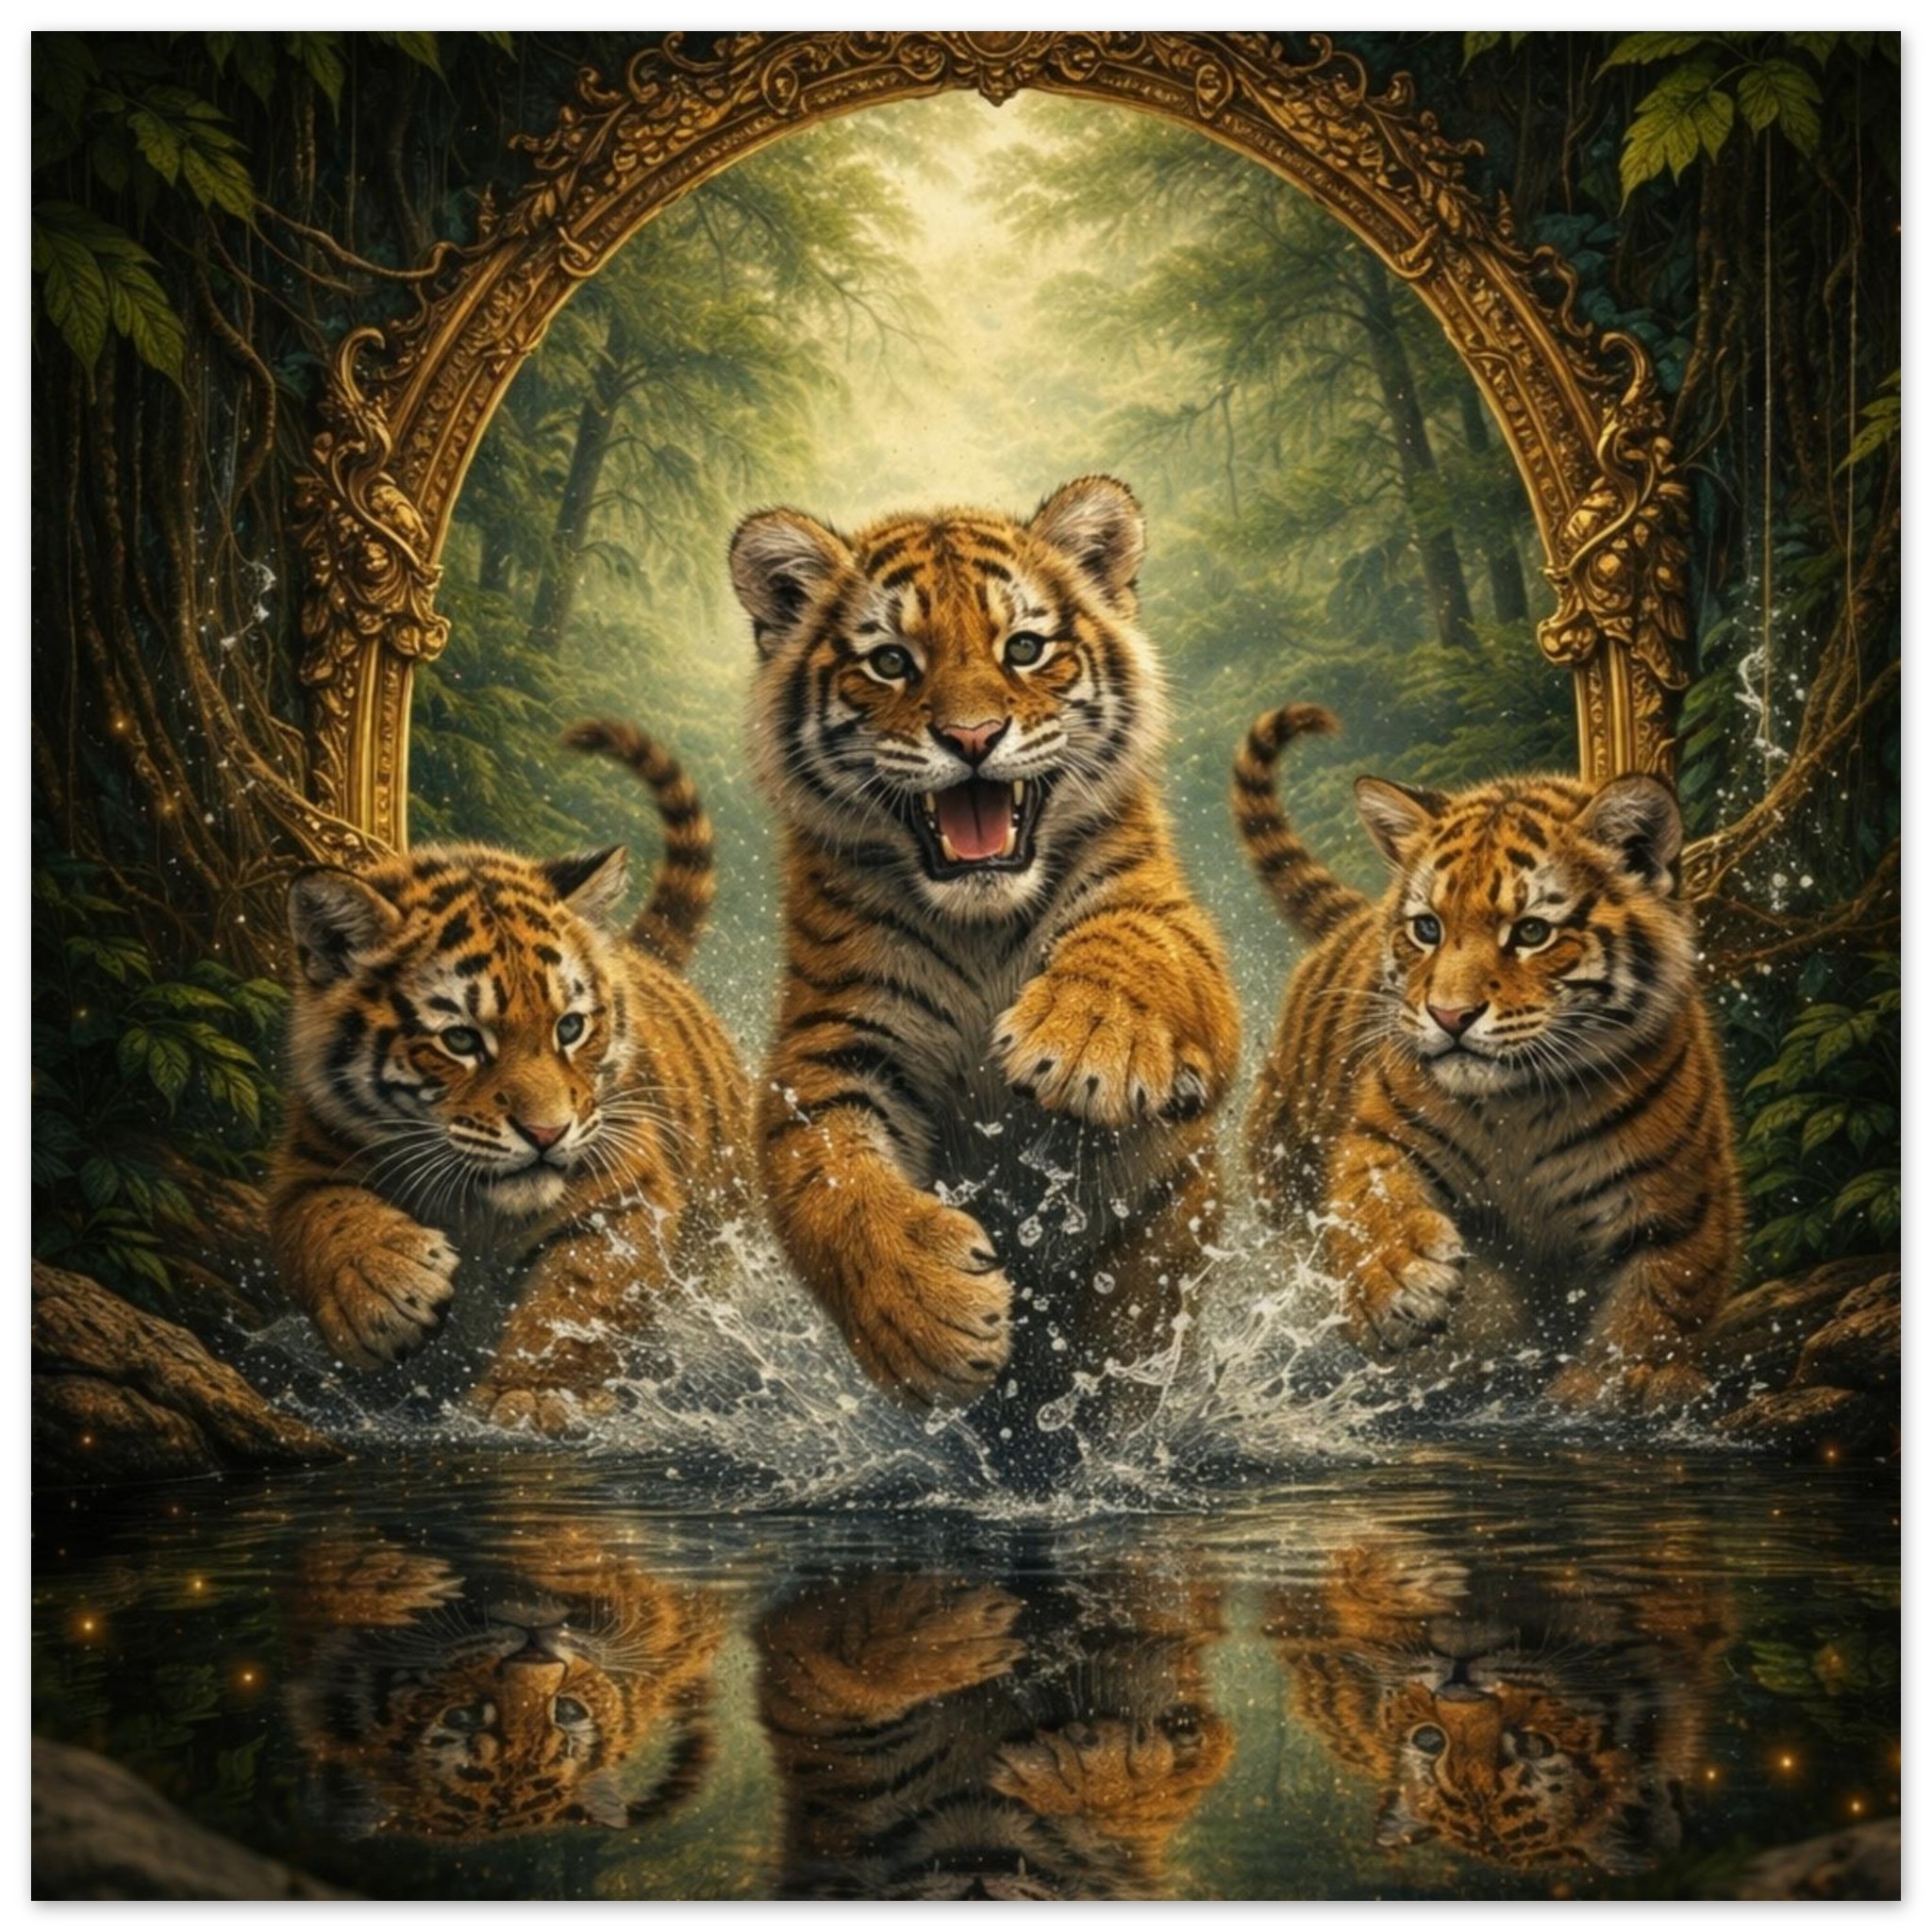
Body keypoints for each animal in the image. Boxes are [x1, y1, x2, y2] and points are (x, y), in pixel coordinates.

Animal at [268, 719, 752, 1432]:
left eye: (570, 1028)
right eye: (461, 1040)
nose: (547, 1134)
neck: (478, 1208)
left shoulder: (627, 1191)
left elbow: (579, 1298)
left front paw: (533, 1394)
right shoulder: (307, 1160)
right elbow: (322, 1219)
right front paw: (384, 1288)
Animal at [730, 476, 1241, 1447]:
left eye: (1025, 649)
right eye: (892, 662)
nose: (972, 738)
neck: (981, 926)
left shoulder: (1176, 932)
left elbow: (1134, 946)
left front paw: (1083, 1042)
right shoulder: (827, 1043)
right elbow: (832, 1182)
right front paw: (927, 1315)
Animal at [1232, 703, 1742, 1411]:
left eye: (1531, 932)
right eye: (1427, 928)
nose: (1450, 1016)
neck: (1524, 1105)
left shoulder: (1683, 1195)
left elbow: (1664, 1294)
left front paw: (1624, 1382)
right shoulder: (1378, 1132)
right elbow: (1369, 1199)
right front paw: (1399, 1280)